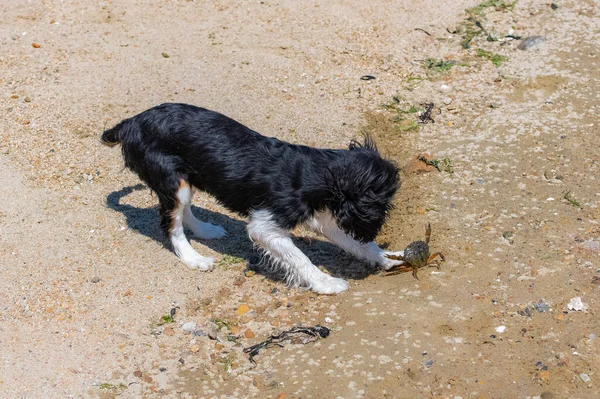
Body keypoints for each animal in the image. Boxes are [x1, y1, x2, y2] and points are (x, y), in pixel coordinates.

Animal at [101, 103, 406, 296]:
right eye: (383, 203)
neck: (318, 172)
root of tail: (131, 122)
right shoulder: (266, 227)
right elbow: (300, 258)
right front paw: (327, 283)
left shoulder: (323, 219)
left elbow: (358, 244)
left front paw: (390, 257)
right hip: (173, 180)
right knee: (171, 225)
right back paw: (193, 258)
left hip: (186, 179)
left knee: (183, 211)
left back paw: (205, 230)